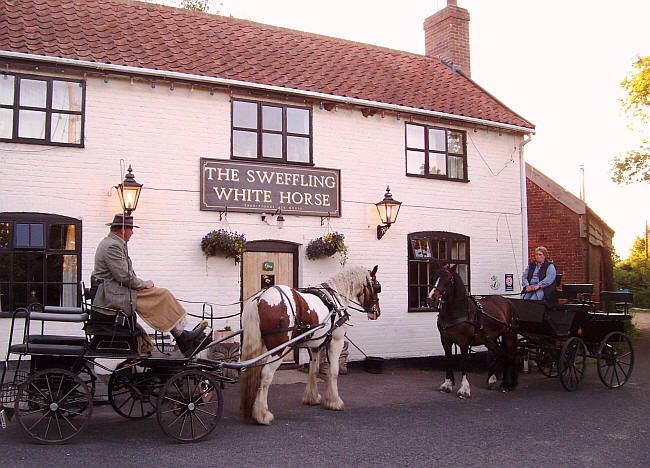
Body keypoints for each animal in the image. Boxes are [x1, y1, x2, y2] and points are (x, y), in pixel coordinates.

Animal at [238, 266, 380, 424]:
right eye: (377, 286)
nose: (377, 312)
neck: (335, 298)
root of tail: (259, 298)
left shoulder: (316, 345)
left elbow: (313, 369)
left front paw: (312, 397)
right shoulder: (336, 341)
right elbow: (334, 371)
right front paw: (334, 401)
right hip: (278, 349)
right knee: (266, 375)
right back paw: (262, 414)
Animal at [426, 266, 516, 396]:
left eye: (448, 280)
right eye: (434, 277)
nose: (431, 299)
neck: (456, 312)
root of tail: (508, 301)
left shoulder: (464, 341)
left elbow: (463, 362)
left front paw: (464, 389)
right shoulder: (445, 340)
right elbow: (448, 360)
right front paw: (447, 384)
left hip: (509, 335)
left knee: (509, 356)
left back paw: (506, 385)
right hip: (489, 339)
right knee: (499, 353)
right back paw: (492, 379)